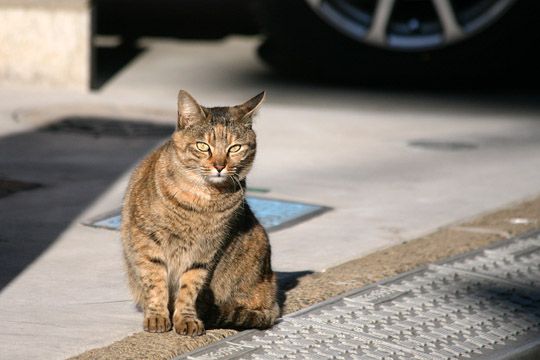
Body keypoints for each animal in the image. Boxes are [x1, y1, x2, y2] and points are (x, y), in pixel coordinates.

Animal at [121, 89, 280, 334]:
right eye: (203, 146)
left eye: (235, 148)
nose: (219, 166)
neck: (201, 202)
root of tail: (273, 303)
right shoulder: (147, 243)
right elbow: (155, 283)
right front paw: (157, 316)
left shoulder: (205, 252)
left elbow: (189, 287)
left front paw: (186, 318)